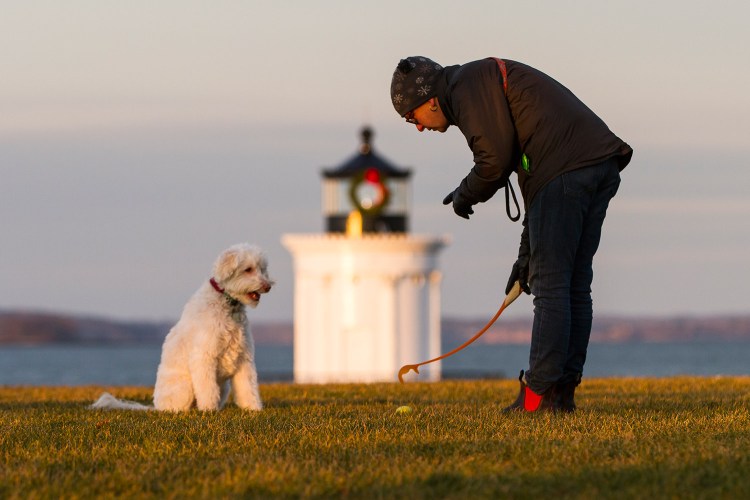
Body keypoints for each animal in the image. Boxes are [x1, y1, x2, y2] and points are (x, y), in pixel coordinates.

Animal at [91, 244, 274, 412]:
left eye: (262, 269)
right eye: (248, 269)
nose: (268, 286)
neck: (227, 304)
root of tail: (156, 407)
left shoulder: (244, 358)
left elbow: (248, 388)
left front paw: (253, 409)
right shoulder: (204, 357)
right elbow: (207, 390)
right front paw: (209, 410)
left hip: (223, 387)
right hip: (185, 386)